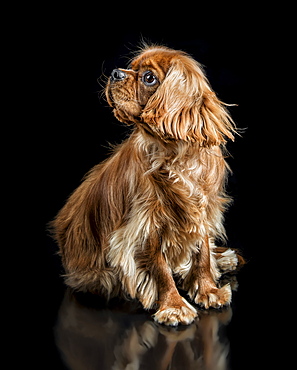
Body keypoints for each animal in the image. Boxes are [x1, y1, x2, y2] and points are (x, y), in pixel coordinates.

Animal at [52, 44, 243, 326]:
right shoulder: (146, 225)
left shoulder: (202, 211)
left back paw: (225, 258)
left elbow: (202, 255)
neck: (176, 154)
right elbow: (160, 268)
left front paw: (209, 290)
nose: (116, 72)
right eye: (130, 68)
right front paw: (175, 306)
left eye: (149, 77)